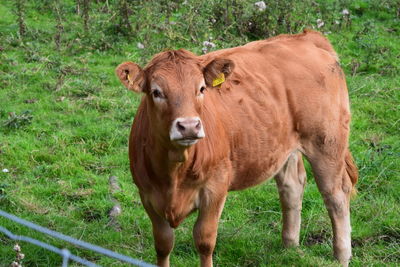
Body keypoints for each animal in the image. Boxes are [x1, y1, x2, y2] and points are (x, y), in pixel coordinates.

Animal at [115, 29, 356, 267]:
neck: (174, 171)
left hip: (327, 143)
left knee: (335, 195)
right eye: (156, 92)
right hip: (285, 144)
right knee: (292, 185)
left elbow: (204, 240)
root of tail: (306, 36)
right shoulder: (147, 194)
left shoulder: (215, 189)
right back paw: (290, 246)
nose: (189, 126)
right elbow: (163, 244)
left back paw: (342, 255)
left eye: (201, 88)